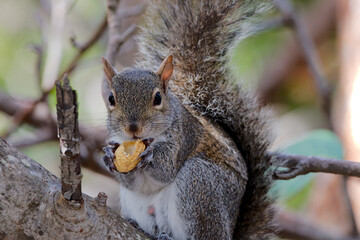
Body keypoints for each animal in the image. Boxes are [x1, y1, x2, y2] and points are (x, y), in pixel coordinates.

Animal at [100, 0, 274, 240]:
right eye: (111, 98)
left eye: (158, 98)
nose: (133, 128)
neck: (145, 140)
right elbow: (133, 183)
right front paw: (109, 156)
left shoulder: (182, 138)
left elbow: (165, 172)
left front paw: (151, 156)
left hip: (198, 185)